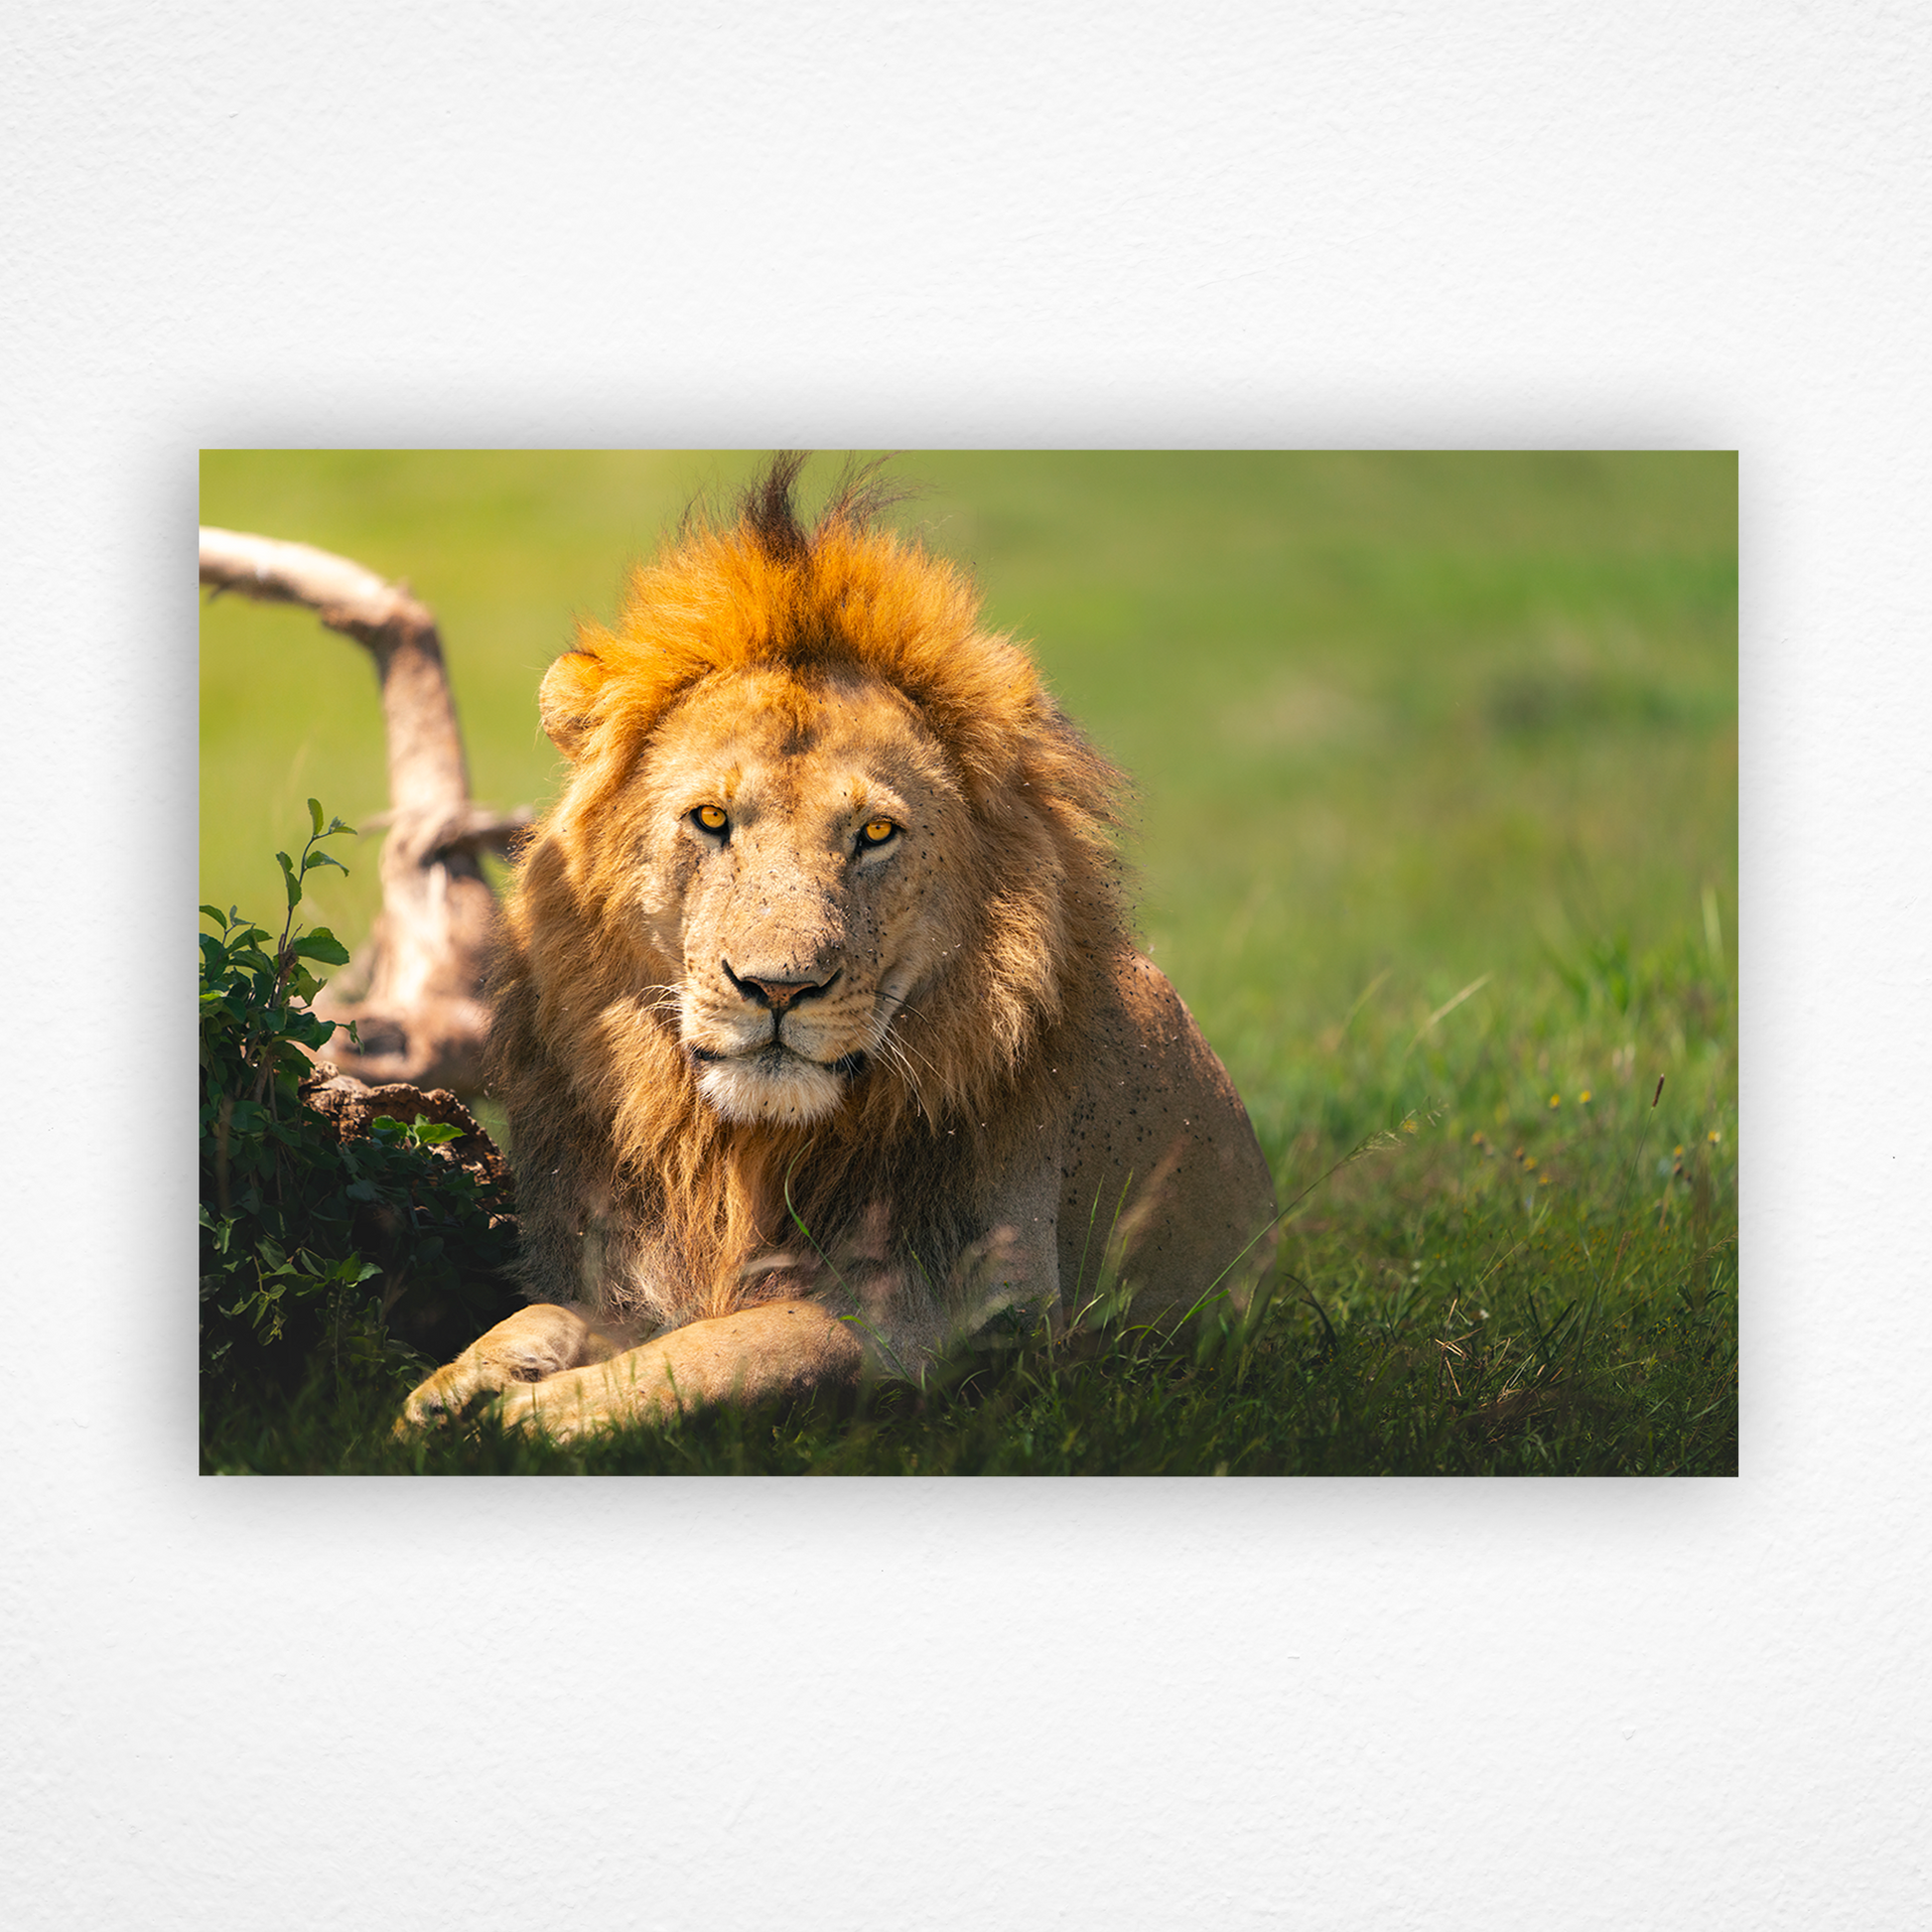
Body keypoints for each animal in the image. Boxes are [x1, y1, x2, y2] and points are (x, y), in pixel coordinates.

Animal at [399, 456, 1277, 1441]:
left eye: (876, 833)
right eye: (711, 819)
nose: (779, 990)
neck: (739, 1151)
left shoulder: (960, 1323)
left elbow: (748, 1345)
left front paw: (539, 1417)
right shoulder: (643, 1276)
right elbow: (562, 1313)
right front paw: (458, 1383)